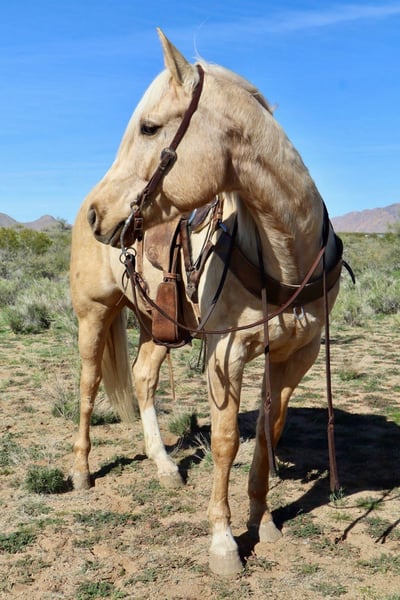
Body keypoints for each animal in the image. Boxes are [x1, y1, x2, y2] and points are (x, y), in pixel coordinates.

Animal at [71, 29, 343, 576]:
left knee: (143, 378)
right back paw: (82, 471)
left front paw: (263, 522)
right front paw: (223, 543)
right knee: (89, 387)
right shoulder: (226, 353)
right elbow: (225, 442)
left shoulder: (296, 355)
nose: (97, 216)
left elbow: (268, 431)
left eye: (150, 127)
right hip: (94, 314)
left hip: (157, 325)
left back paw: (165, 466)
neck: (286, 253)